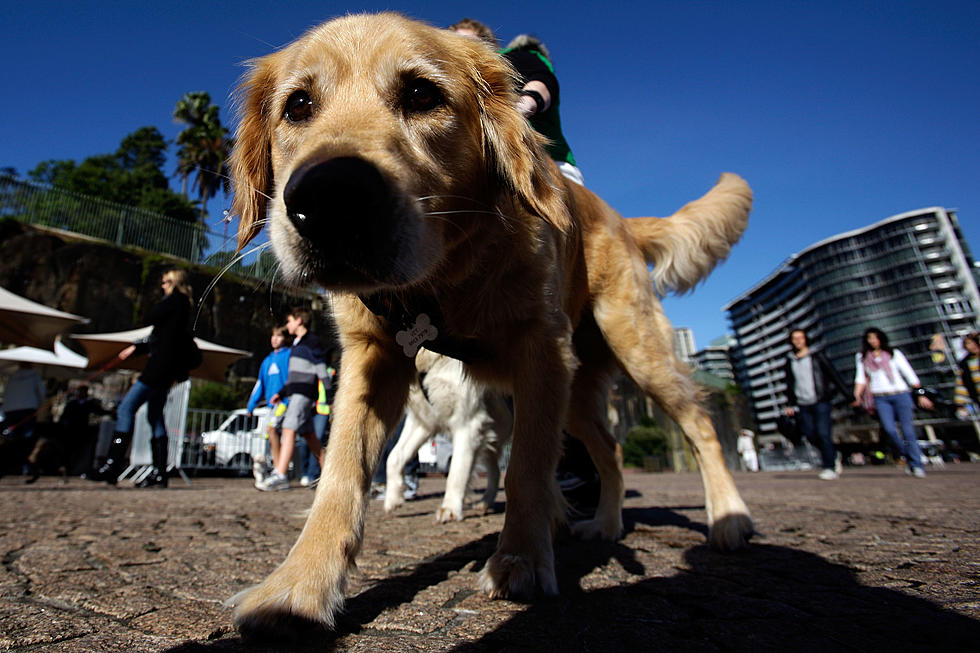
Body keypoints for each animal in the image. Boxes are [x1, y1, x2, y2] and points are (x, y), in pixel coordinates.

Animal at [384, 348, 512, 524]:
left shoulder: (468, 421)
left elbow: (456, 471)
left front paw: (450, 509)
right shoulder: (422, 421)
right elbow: (394, 456)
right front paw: (393, 498)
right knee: (495, 470)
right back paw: (484, 503)